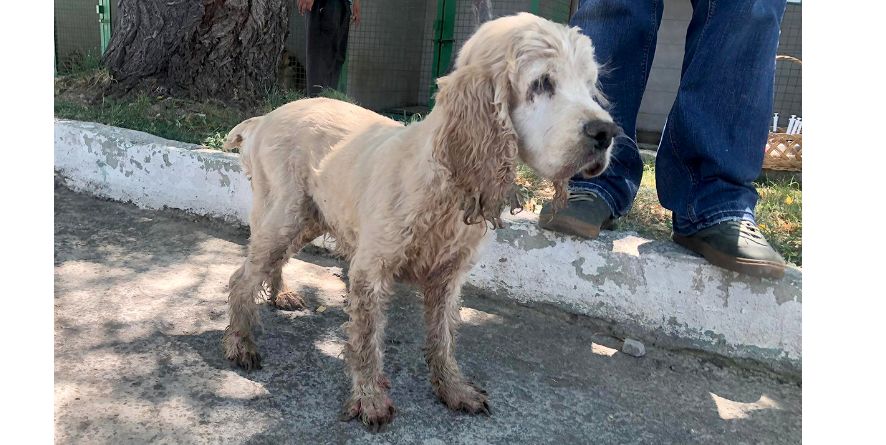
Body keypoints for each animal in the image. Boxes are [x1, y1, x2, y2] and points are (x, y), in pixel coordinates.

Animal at [224, 13, 616, 430]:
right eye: (542, 83)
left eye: (589, 85)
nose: (607, 133)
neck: (445, 179)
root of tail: (265, 117)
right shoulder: (370, 270)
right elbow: (366, 341)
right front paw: (370, 399)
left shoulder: (448, 277)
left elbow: (442, 338)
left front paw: (453, 389)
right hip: (284, 215)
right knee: (241, 277)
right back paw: (240, 343)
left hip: (307, 218)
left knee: (270, 263)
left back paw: (280, 294)